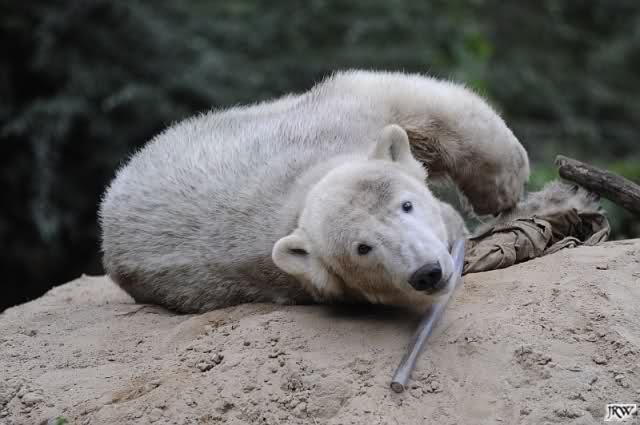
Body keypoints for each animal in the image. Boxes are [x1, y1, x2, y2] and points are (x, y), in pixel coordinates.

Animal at [99, 70, 529, 313]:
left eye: (406, 205)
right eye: (362, 248)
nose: (426, 273)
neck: (304, 184)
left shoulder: (336, 117)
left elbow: (412, 101)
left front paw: (502, 188)